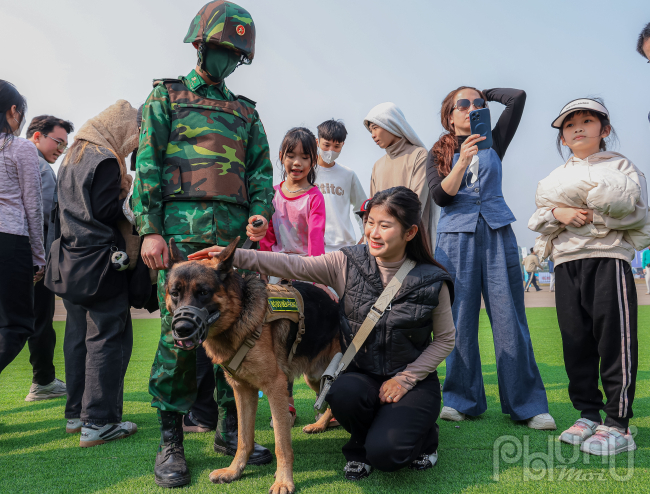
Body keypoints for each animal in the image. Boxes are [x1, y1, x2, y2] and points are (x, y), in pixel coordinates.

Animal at [166, 237, 340, 492]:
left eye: (203, 292)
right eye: (175, 293)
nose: (181, 329)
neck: (239, 315)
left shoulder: (275, 388)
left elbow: (281, 443)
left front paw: (283, 480)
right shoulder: (243, 391)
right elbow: (243, 438)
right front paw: (234, 471)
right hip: (316, 377)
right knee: (328, 400)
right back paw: (320, 425)